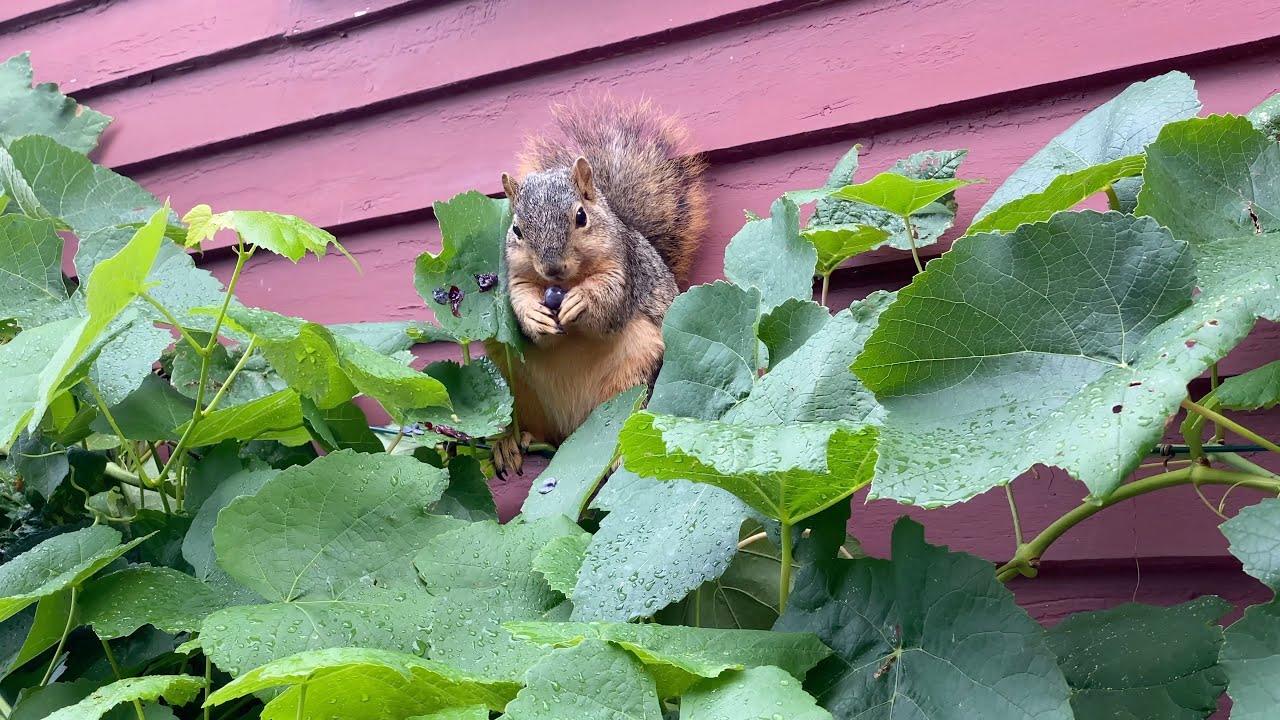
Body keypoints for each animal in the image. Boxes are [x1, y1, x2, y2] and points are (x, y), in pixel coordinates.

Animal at [486, 98, 708, 476]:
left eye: (581, 217)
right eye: (516, 230)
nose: (552, 268)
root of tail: (574, 432)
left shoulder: (625, 270)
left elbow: (608, 303)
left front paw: (582, 302)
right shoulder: (516, 278)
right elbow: (522, 304)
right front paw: (535, 315)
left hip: (636, 377)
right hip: (519, 389)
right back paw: (509, 443)